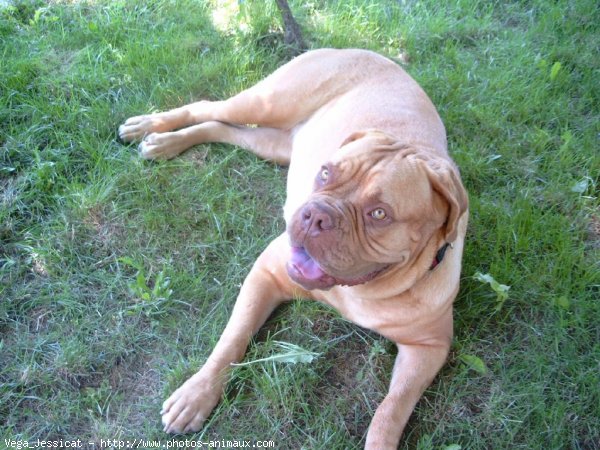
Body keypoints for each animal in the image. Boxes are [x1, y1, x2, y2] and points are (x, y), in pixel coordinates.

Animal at [118, 47, 468, 448]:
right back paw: (151, 128)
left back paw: (164, 142)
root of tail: (363, 50)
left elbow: (390, 410)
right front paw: (197, 394)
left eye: (379, 213)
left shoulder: (428, 348)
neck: (361, 292)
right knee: (208, 108)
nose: (315, 216)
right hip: (268, 102)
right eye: (326, 173)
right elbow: (231, 340)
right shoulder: (265, 274)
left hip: (276, 146)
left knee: (223, 128)